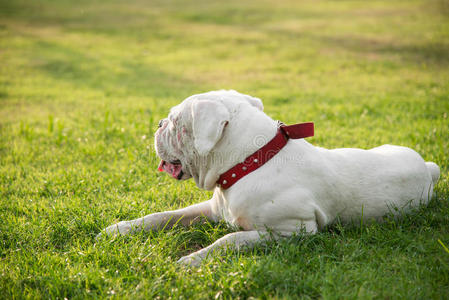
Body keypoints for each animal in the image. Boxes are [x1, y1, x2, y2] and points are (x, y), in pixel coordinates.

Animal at [98, 90, 438, 266]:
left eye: (174, 121)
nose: (157, 124)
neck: (249, 162)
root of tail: (427, 166)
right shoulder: (211, 209)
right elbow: (164, 215)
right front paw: (120, 229)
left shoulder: (294, 231)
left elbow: (230, 239)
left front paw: (192, 260)